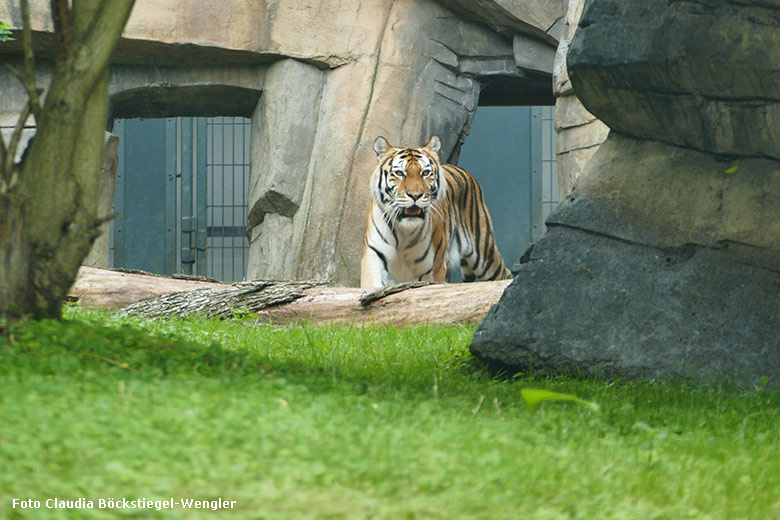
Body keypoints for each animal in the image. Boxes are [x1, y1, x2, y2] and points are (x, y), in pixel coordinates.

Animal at [362, 134, 516, 288]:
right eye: (399, 173)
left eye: (425, 173)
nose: (415, 195)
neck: (404, 232)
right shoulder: (374, 257)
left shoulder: (434, 268)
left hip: (483, 253)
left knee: (503, 274)